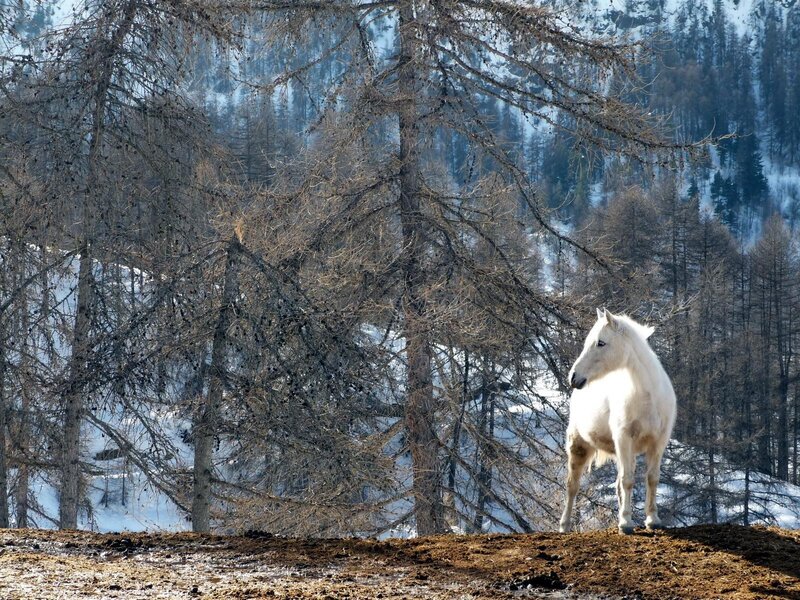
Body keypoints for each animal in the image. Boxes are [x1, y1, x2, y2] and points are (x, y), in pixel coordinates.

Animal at [559, 308, 676, 535]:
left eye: (601, 343)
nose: (573, 377)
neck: (647, 396)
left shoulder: (658, 443)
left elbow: (652, 478)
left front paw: (652, 520)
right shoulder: (624, 438)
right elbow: (628, 480)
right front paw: (626, 524)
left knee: (617, 483)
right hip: (579, 445)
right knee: (572, 485)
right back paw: (565, 526)